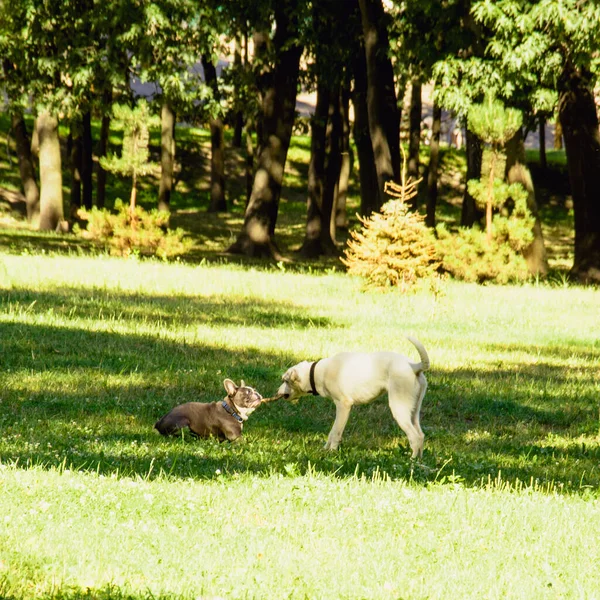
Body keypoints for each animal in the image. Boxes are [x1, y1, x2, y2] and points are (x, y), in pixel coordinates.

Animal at [278, 336, 428, 458]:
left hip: (399, 407)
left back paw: (411, 462)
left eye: (285, 380)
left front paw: (332, 452)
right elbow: (332, 432)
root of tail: (415, 366)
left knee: (415, 437)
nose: (277, 392)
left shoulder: (343, 406)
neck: (317, 372)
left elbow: (336, 432)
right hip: (413, 410)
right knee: (420, 435)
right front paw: (325, 450)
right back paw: (420, 461)